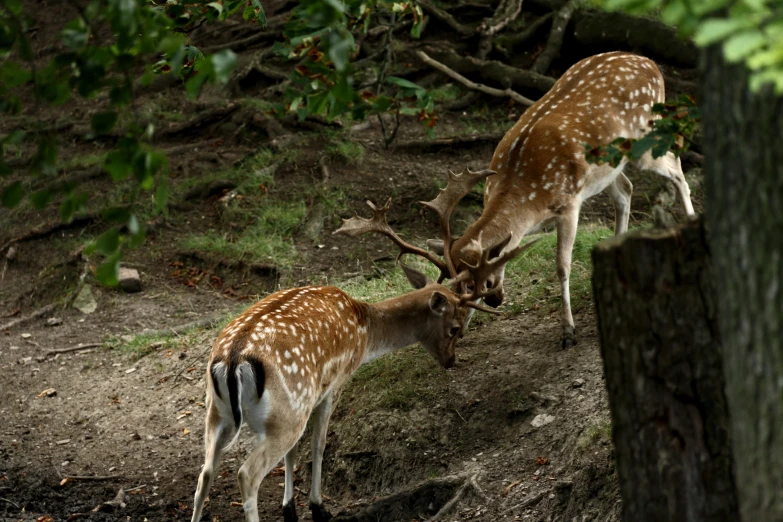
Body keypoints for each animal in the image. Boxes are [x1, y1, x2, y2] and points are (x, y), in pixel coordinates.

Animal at [191, 174, 544, 520]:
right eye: (455, 327)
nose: (451, 360)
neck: (364, 330)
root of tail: (233, 359)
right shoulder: (332, 383)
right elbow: (318, 445)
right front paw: (318, 507)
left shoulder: (310, 398)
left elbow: (295, 452)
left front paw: (289, 508)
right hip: (284, 412)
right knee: (247, 474)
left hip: (218, 412)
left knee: (204, 474)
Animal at [428, 50, 700, 348]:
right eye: (458, 286)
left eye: (482, 282)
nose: (495, 301)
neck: (527, 202)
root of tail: (653, 65)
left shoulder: (569, 204)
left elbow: (562, 265)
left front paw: (568, 331)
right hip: (609, 167)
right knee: (626, 189)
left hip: (644, 141)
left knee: (676, 168)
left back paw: (692, 223)